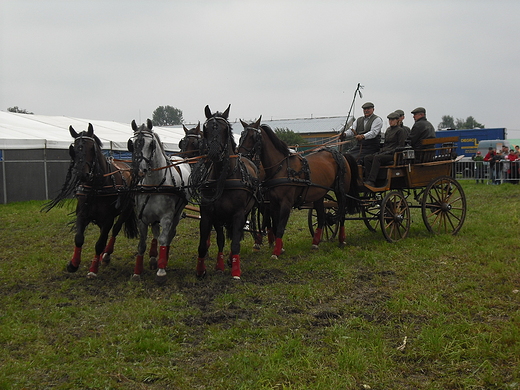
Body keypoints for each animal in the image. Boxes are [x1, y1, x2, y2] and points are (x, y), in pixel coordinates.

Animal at [127, 119, 191, 284]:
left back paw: (164, 259)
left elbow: (163, 238)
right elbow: (142, 244)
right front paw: (137, 272)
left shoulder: (167, 217)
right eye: (132, 144)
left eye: (151, 144)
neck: (153, 185)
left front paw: (161, 271)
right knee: (155, 233)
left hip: (177, 214)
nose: (139, 170)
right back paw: (153, 258)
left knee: (169, 235)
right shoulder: (142, 218)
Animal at [188, 105, 258, 278]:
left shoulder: (238, 214)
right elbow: (208, 242)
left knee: (236, 235)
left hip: (246, 211)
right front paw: (202, 269)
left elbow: (235, 242)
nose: (214, 152)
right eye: (206, 129)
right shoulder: (209, 214)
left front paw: (236, 270)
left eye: (225, 129)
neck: (223, 178)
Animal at [239, 117, 358, 260]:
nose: (241, 156)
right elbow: (274, 225)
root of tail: (340, 154)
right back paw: (315, 243)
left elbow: (280, 226)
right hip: (319, 195)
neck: (281, 167)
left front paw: (275, 252)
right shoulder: (272, 203)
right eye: (241, 135)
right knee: (322, 217)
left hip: (340, 191)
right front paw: (279, 247)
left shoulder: (286, 203)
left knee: (341, 214)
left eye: (253, 137)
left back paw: (341, 240)